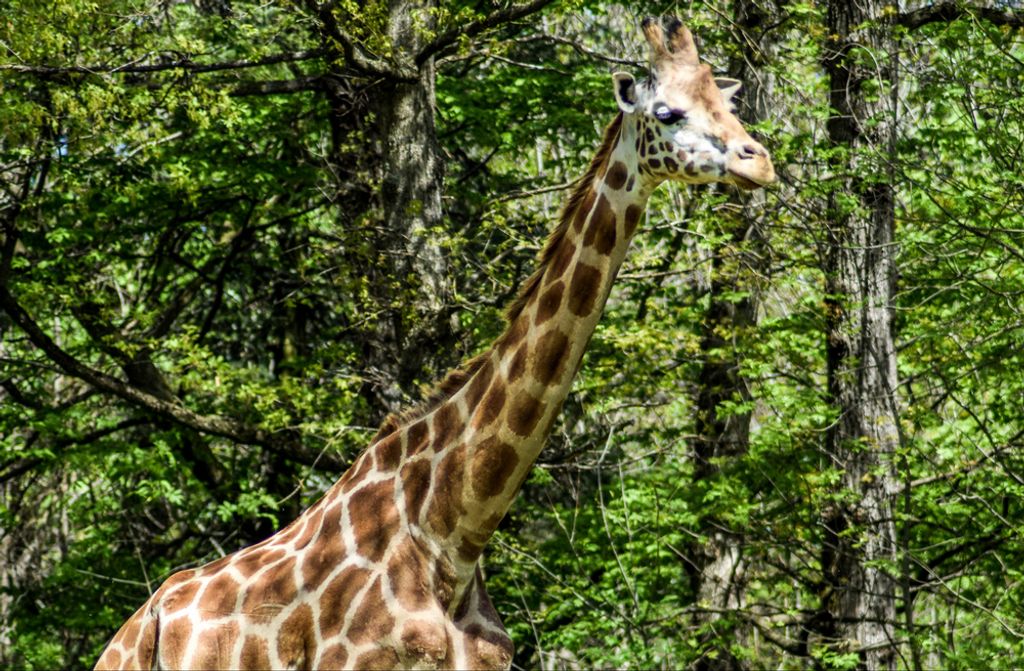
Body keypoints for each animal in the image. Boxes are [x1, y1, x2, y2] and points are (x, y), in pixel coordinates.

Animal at [95, 16, 774, 671]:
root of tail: (134, 626)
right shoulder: (352, 664)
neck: (452, 533)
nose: (759, 161)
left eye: (727, 102)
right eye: (667, 112)